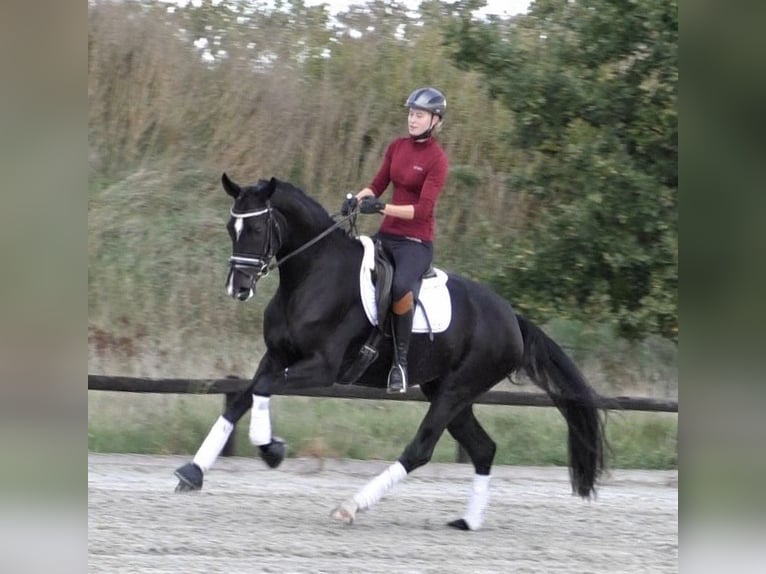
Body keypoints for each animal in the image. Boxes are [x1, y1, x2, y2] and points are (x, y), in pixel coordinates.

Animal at [176, 174, 608, 532]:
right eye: (231, 227)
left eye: (257, 227)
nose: (238, 287)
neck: (311, 276)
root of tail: (512, 319)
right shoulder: (277, 355)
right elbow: (242, 398)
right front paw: (193, 472)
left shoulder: (321, 368)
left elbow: (264, 387)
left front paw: (271, 449)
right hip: (449, 392)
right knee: (483, 448)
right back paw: (468, 521)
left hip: (456, 390)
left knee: (420, 449)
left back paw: (351, 507)